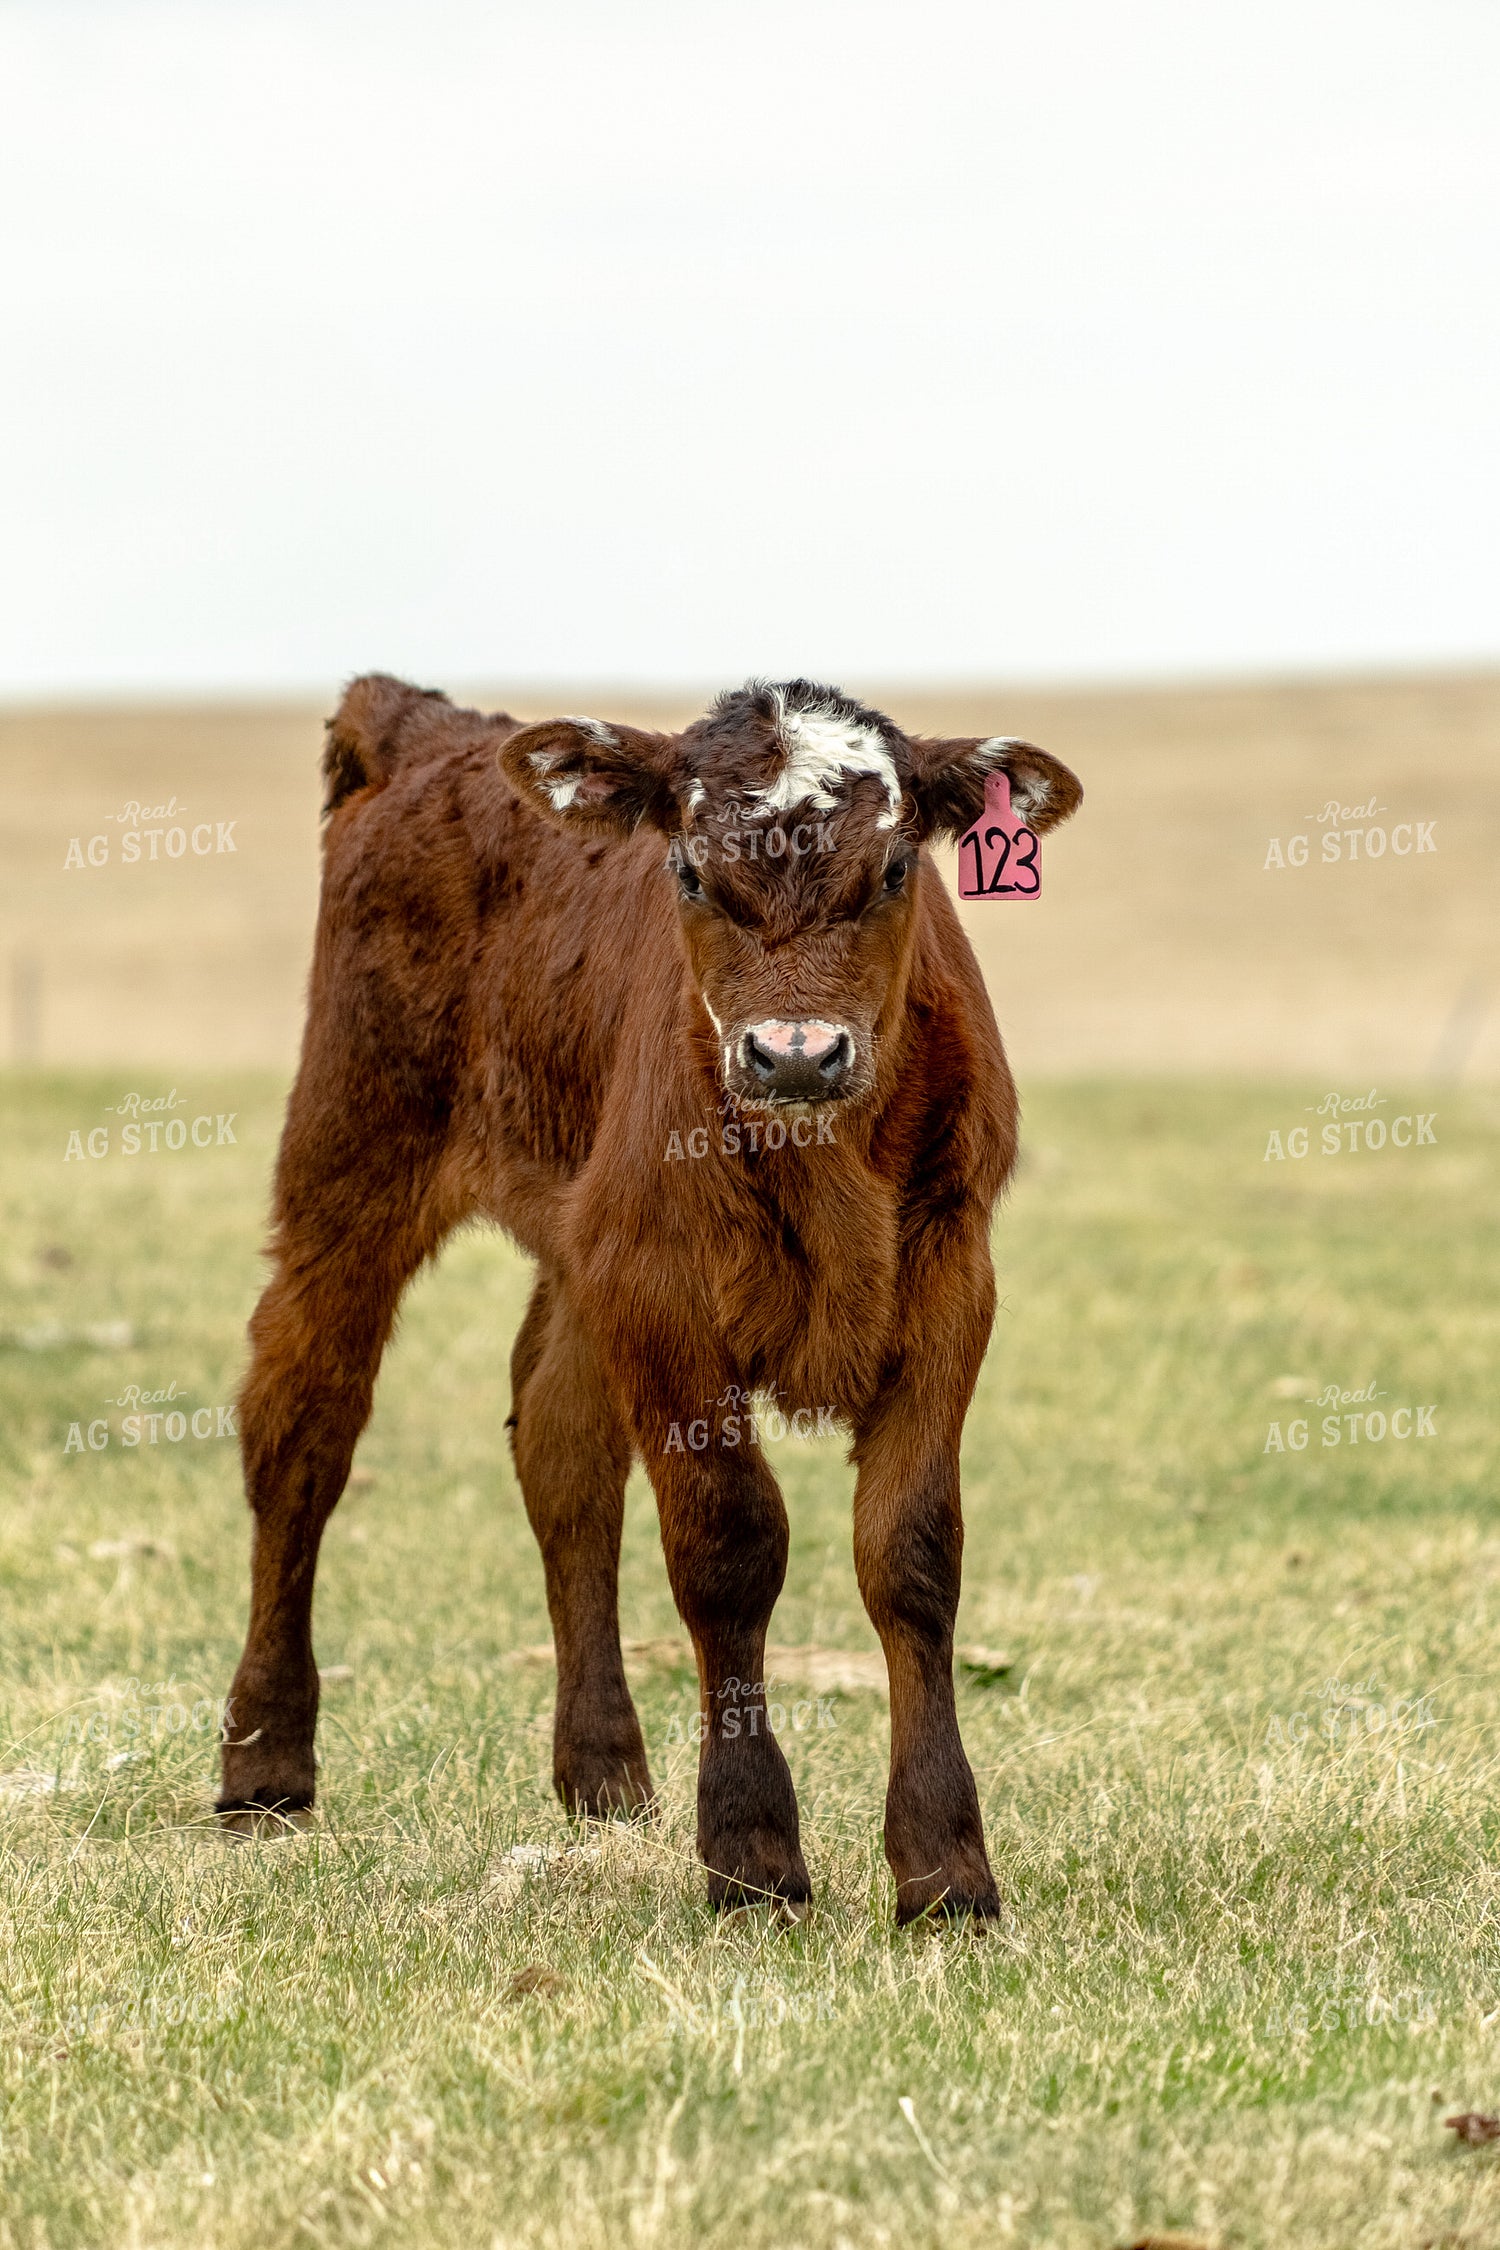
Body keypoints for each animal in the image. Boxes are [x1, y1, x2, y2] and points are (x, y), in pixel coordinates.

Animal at [218, 674, 1082, 1922]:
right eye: (688, 872)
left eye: (892, 870)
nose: (795, 1053)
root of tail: (428, 725)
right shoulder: (661, 1287)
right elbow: (728, 1546)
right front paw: (753, 1852)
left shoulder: (949, 1279)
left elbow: (911, 1554)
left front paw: (945, 1868)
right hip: (351, 1158)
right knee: (302, 1429)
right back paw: (264, 1764)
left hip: (578, 1247)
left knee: (562, 1449)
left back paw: (603, 1771)